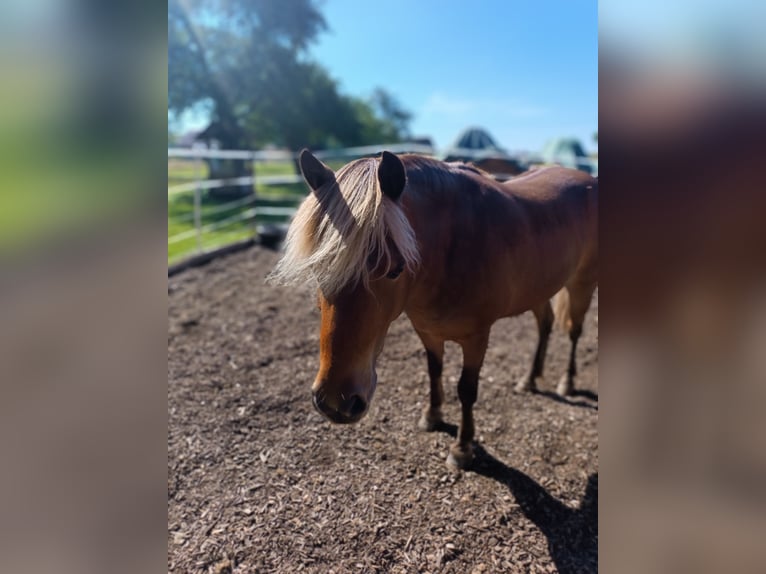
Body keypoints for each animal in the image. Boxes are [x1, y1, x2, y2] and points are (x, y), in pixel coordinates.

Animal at [270, 151, 600, 470]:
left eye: (395, 270)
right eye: (317, 269)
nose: (335, 402)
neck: (451, 247)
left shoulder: (477, 337)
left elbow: (466, 390)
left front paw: (463, 448)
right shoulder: (427, 330)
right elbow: (434, 371)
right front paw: (432, 416)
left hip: (582, 283)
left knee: (574, 332)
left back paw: (567, 382)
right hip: (539, 288)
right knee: (545, 324)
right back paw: (530, 379)